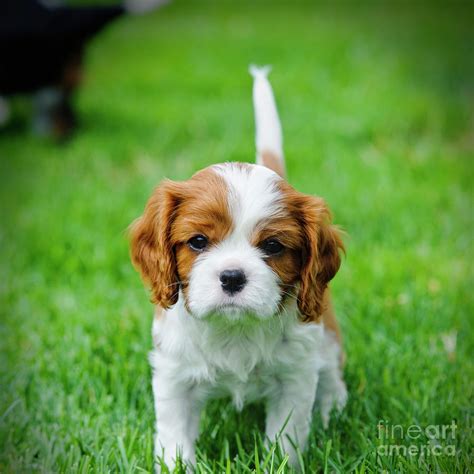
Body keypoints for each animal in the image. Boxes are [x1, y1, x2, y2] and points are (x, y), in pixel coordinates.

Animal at [130, 66, 348, 470]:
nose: (232, 277)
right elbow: (174, 439)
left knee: (330, 370)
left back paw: (334, 408)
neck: (235, 330)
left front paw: (280, 464)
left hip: (323, 331)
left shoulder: (294, 378)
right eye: (198, 241)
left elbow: (286, 439)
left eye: (273, 246)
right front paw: (176, 466)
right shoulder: (174, 378)